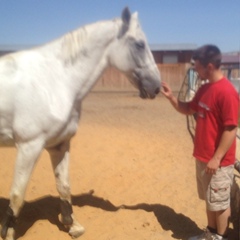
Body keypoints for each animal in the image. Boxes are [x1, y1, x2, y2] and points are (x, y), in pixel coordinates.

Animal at [0, 6, 161, 239]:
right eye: (139, 44)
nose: (157, 87)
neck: (54, 81)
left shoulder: (59, 145)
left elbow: (64, 186)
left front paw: (72, 226)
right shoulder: (28, 147)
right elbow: (17, 195)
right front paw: (8, 233)